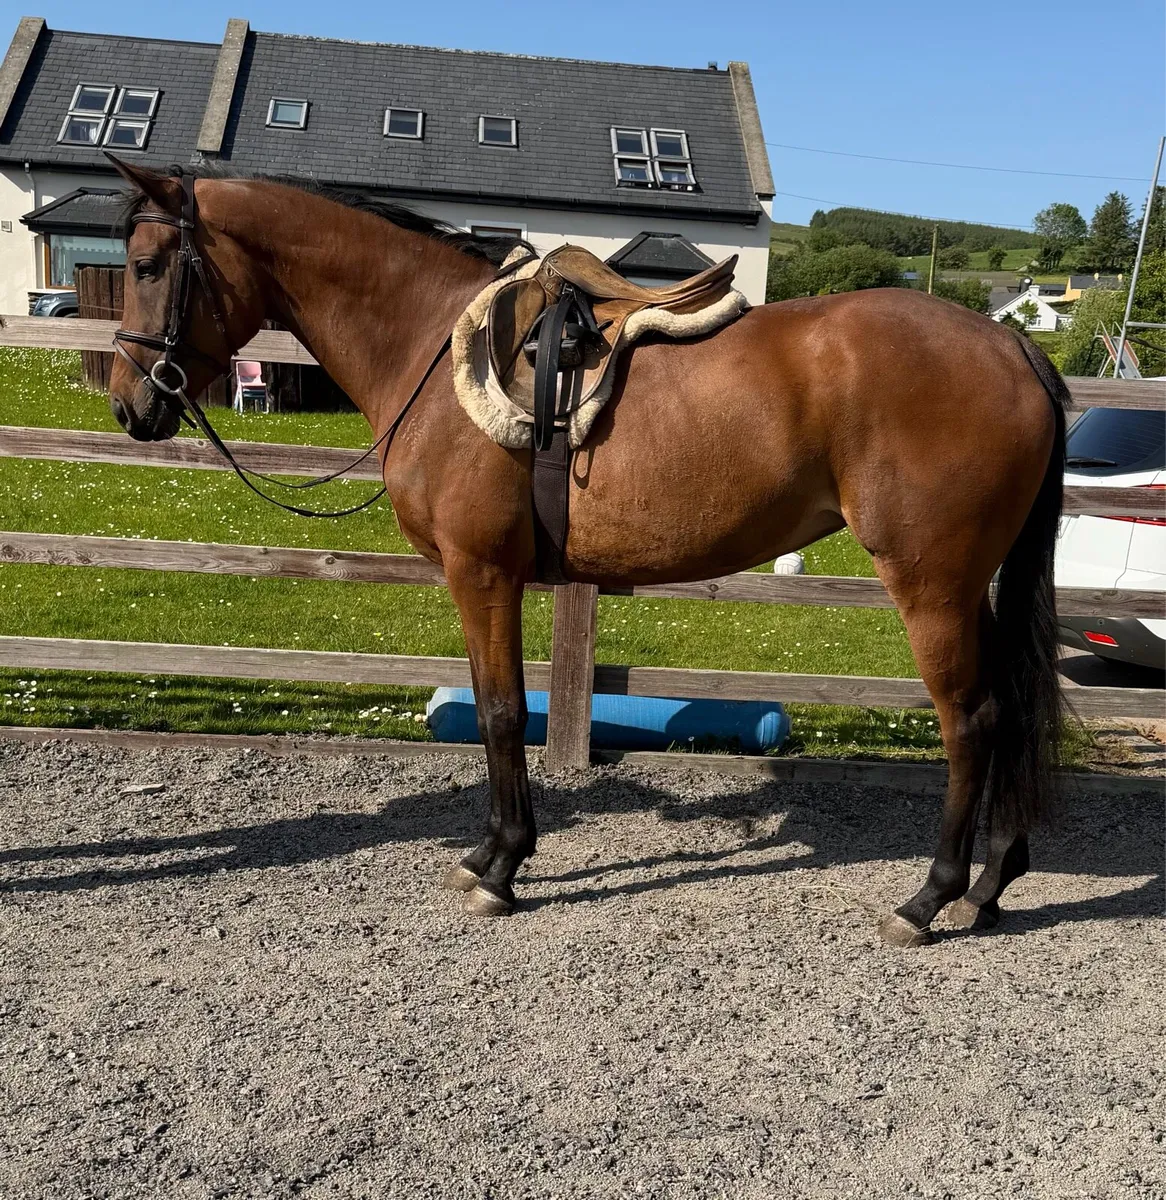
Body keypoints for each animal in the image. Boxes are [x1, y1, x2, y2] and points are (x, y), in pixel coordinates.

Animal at [105, 157, 1066, 947]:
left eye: (148, 266)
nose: (128, 405)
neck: (428, 342)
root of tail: (1012, 343)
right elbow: (492, 707)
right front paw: (487, 855)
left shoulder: (482, 572)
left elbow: (500, 713)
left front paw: (502, 868)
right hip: (969, 584)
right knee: (1009, 712)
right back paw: (991, 884)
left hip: (932, 583)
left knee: (972, 721)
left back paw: (930, 897)